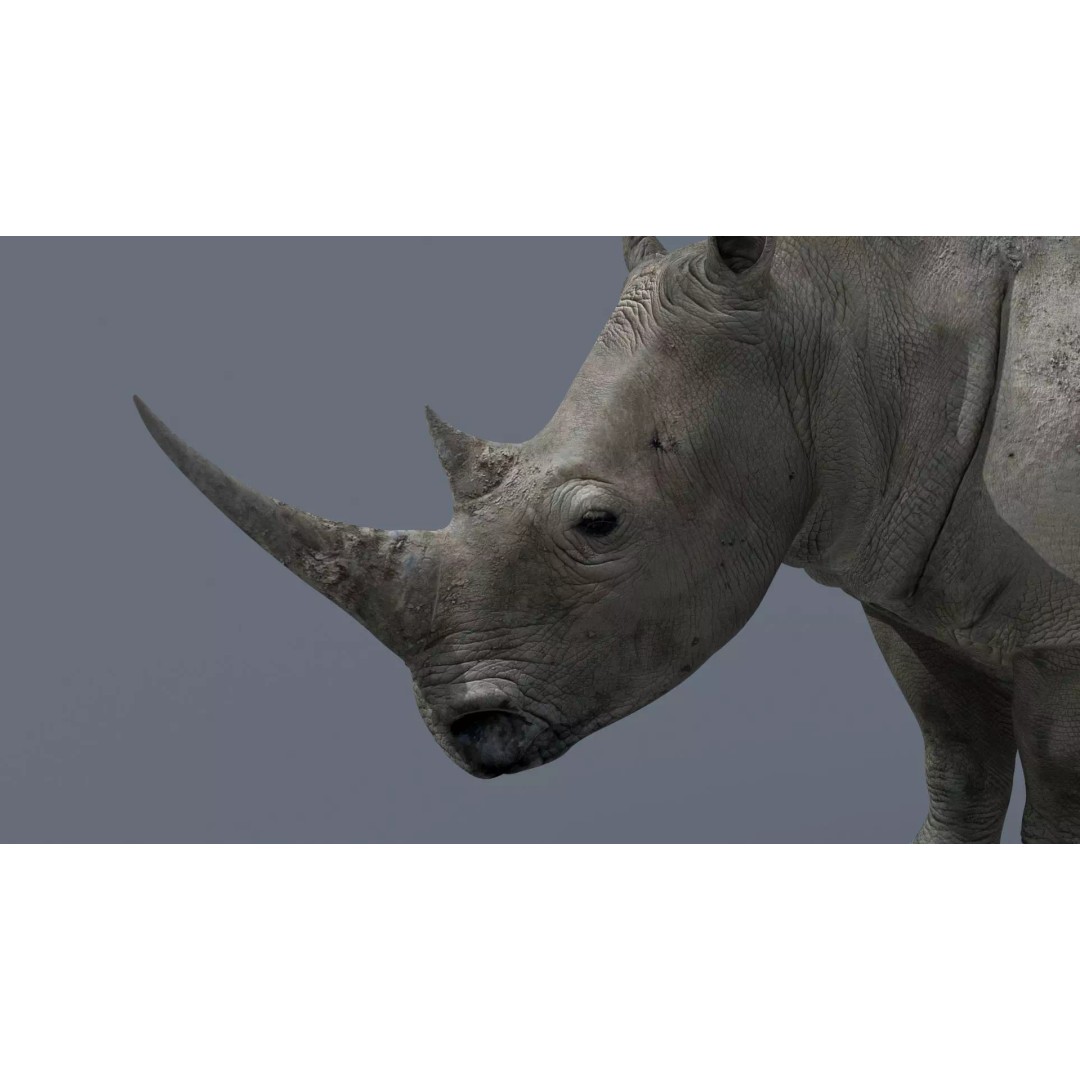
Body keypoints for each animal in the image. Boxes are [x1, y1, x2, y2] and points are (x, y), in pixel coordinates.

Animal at [134, 236, 1080, 843]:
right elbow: (957, 781)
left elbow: (1055, 813)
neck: (847, 328)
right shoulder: (909, 584)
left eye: (598, 523)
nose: (464, 734)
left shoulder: (1058, 636)